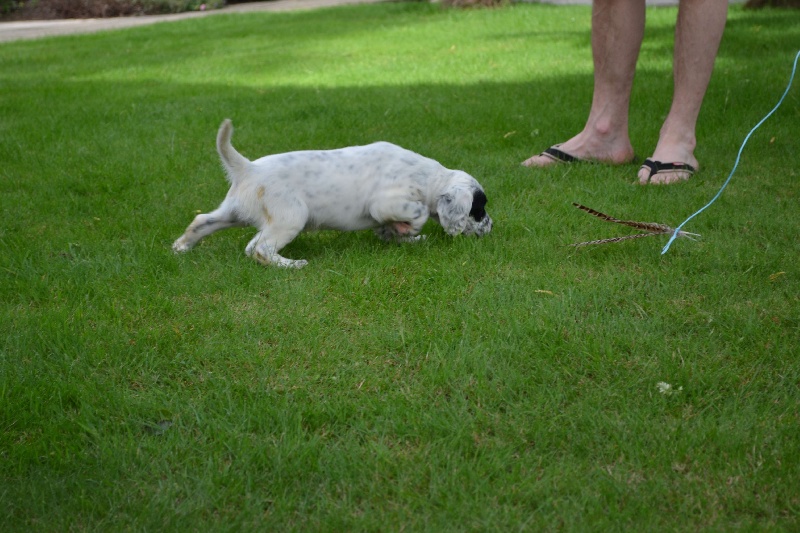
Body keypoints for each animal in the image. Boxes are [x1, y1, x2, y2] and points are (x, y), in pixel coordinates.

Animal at [172, 121, 490, 270]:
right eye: (479, 209)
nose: (490, 228)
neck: (429, 177)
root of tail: (248, 168)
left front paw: (401, 236)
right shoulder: (385, 202)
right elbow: (418, 213)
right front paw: (408, 230)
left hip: (234, 212)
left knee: (203, 221)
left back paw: (180, 248)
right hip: (290, 217)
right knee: (258, 249)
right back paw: (292, 266)